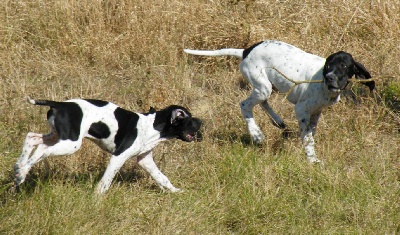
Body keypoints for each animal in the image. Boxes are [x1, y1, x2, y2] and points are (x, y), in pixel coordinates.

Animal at [14, 97, 203, 193]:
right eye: (189, 119)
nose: (202, 122)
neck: (152, 126)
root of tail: (60, 104)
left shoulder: (144, 159)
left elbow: (162, 177)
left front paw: (176, 191)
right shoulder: (118, 157)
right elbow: (105, 182)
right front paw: (97, 199)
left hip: (57, 136)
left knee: (32, 139)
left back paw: (18, 168)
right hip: (71, 143)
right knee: (42, 151)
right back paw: (22, 172)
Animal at [184, 39, 372, 162]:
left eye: (343, 66)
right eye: (328, 66)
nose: (329, 77)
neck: (324, 87)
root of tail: (246, 51)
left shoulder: (316, 112)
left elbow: (311, 133)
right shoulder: (302, 110)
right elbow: (308, 138)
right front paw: (312, 159)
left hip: (266, 87)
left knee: (262, 102)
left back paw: (277, 121)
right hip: (263, 86)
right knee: (245, 105)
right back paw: (256, 134)